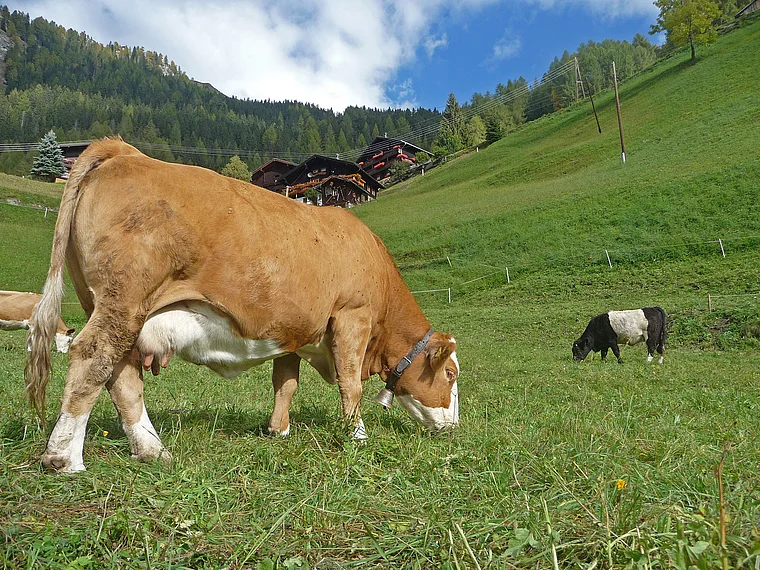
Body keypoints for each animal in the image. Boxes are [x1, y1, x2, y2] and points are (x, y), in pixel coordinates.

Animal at [25, 138, 460, 473]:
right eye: (451, 374)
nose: (455, 427)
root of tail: (123, 151)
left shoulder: (294, 331)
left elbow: (286, 383)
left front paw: (278, 430)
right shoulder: (352, 317)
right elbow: (350, 383)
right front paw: (357, 435)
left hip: (112, 308)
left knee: (121, 374)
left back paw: (152, 451)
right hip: (123, 299)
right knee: (92, 357)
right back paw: (63, 457)